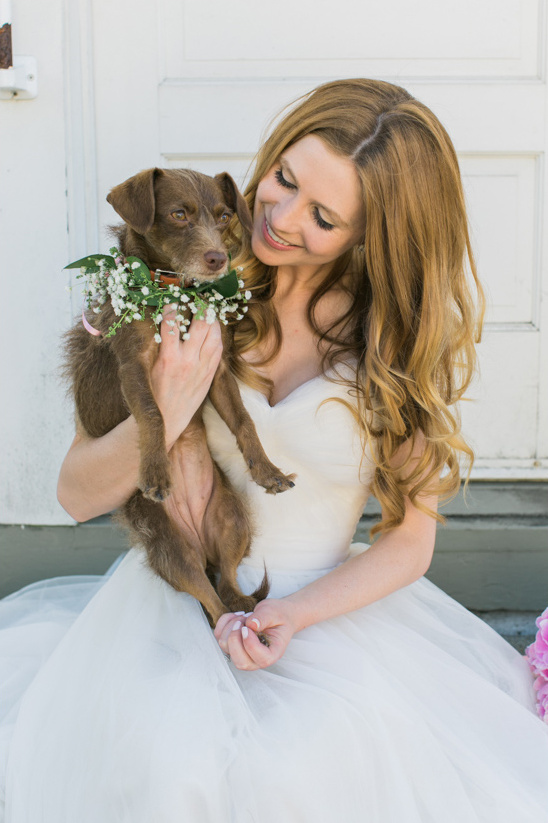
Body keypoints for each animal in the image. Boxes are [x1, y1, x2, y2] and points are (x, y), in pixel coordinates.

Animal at [63, 171, 296, 628]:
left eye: (224, 216)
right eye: (177, 215)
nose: (218, 259)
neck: (173, 295)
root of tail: (200, 547)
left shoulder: (216, 372)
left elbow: (244, 420)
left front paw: (267, 470)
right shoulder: (134, 366)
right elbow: (154, 413)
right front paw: (156, 471)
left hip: (231, 519)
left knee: (227, 585)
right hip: (169, 549)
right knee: (210, 599)